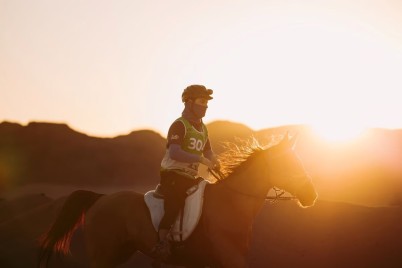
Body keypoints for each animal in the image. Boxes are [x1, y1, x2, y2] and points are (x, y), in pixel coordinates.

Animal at [39, 135, 318, 266]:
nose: (311, 194)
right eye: (287, 163)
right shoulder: (230, 260)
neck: (231, 204)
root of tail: (102, 198)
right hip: (103, 255)